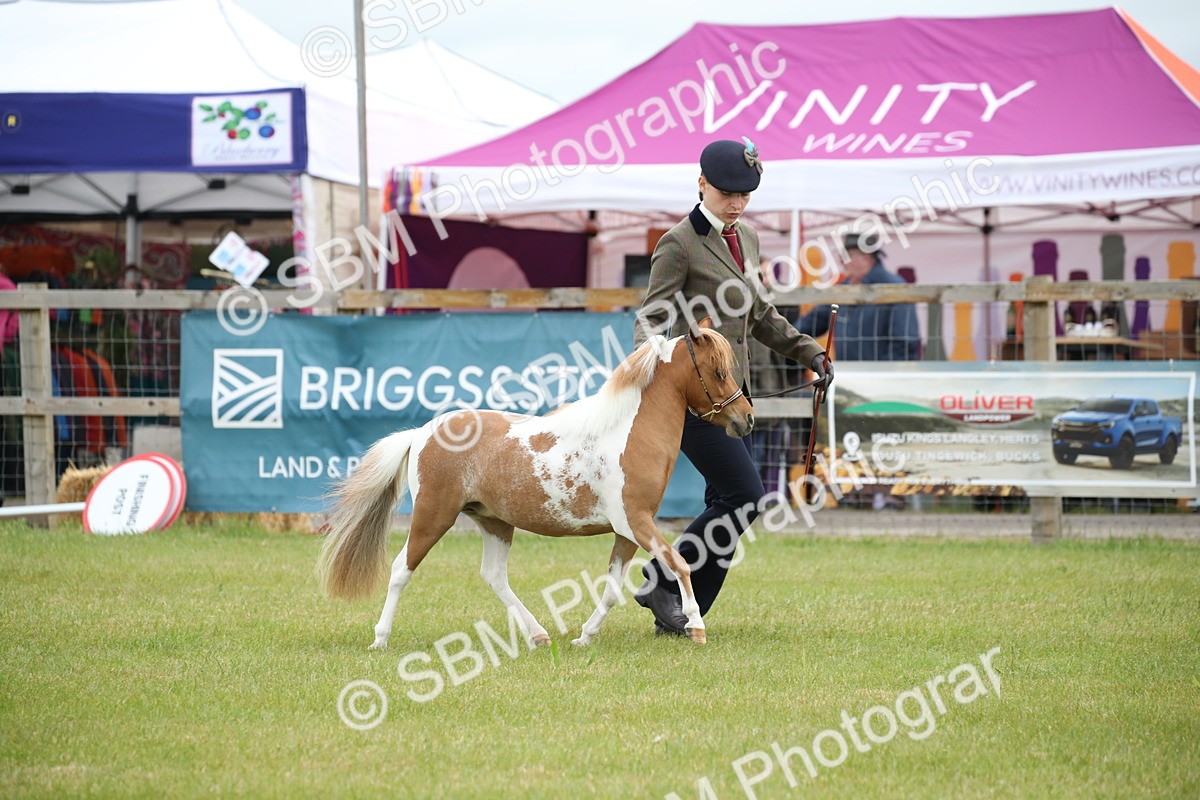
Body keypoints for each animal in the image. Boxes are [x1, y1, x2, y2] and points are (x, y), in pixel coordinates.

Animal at [316, 318, 755, 647]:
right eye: (717, 370)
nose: (746, 419)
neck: (627, 433)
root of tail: (422, 432)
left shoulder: (628, 530)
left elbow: (613, 588)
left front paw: (585, 636)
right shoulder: (636, 522)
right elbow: (679, 563)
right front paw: (696, 626)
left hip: (493, 522)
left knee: (493, 576)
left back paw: (539, 635)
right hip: (432, 516)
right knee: (400, 570)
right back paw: (380, 638)